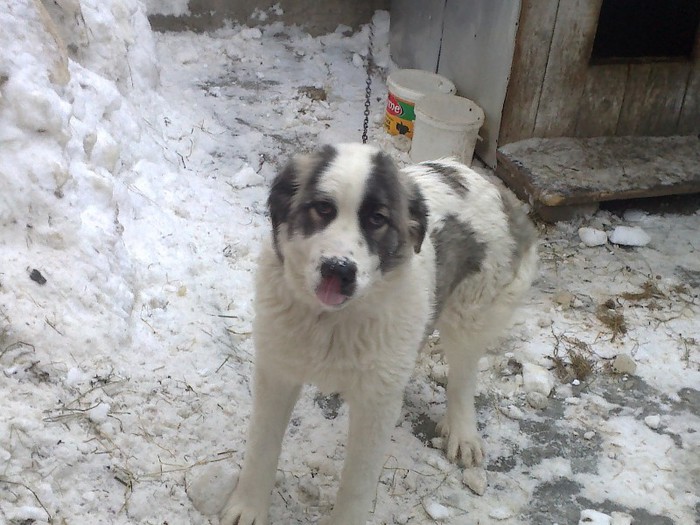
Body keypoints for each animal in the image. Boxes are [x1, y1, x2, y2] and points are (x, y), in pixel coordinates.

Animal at [221, 142, 540, 524]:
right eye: (323, 209)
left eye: (377, 219)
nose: (338, 269)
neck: (331, 321)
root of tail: (482, 180)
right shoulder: (277, 372)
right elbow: (262, 447)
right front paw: (248, 507)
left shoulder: (376, 405)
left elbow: (356, 484)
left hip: (471, 312)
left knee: (463, 377)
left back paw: (463, 432)